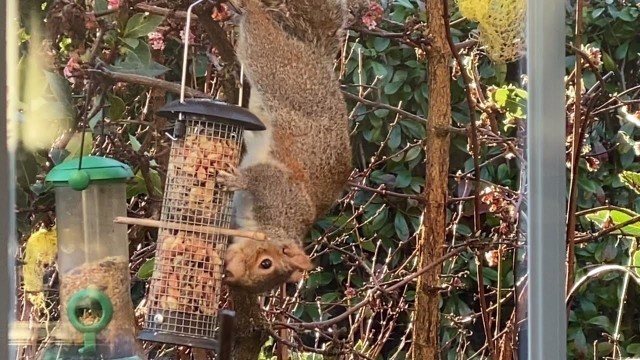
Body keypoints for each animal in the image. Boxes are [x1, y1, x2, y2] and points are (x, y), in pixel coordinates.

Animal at [219, 0, 352, 292]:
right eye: (266, 263)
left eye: (261, 280)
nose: (230, 273)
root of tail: (317, 58)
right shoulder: (281, 191)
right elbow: (262, 176)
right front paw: (238, 179)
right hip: (277, 70)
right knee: (261, 34)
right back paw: (249, 8)